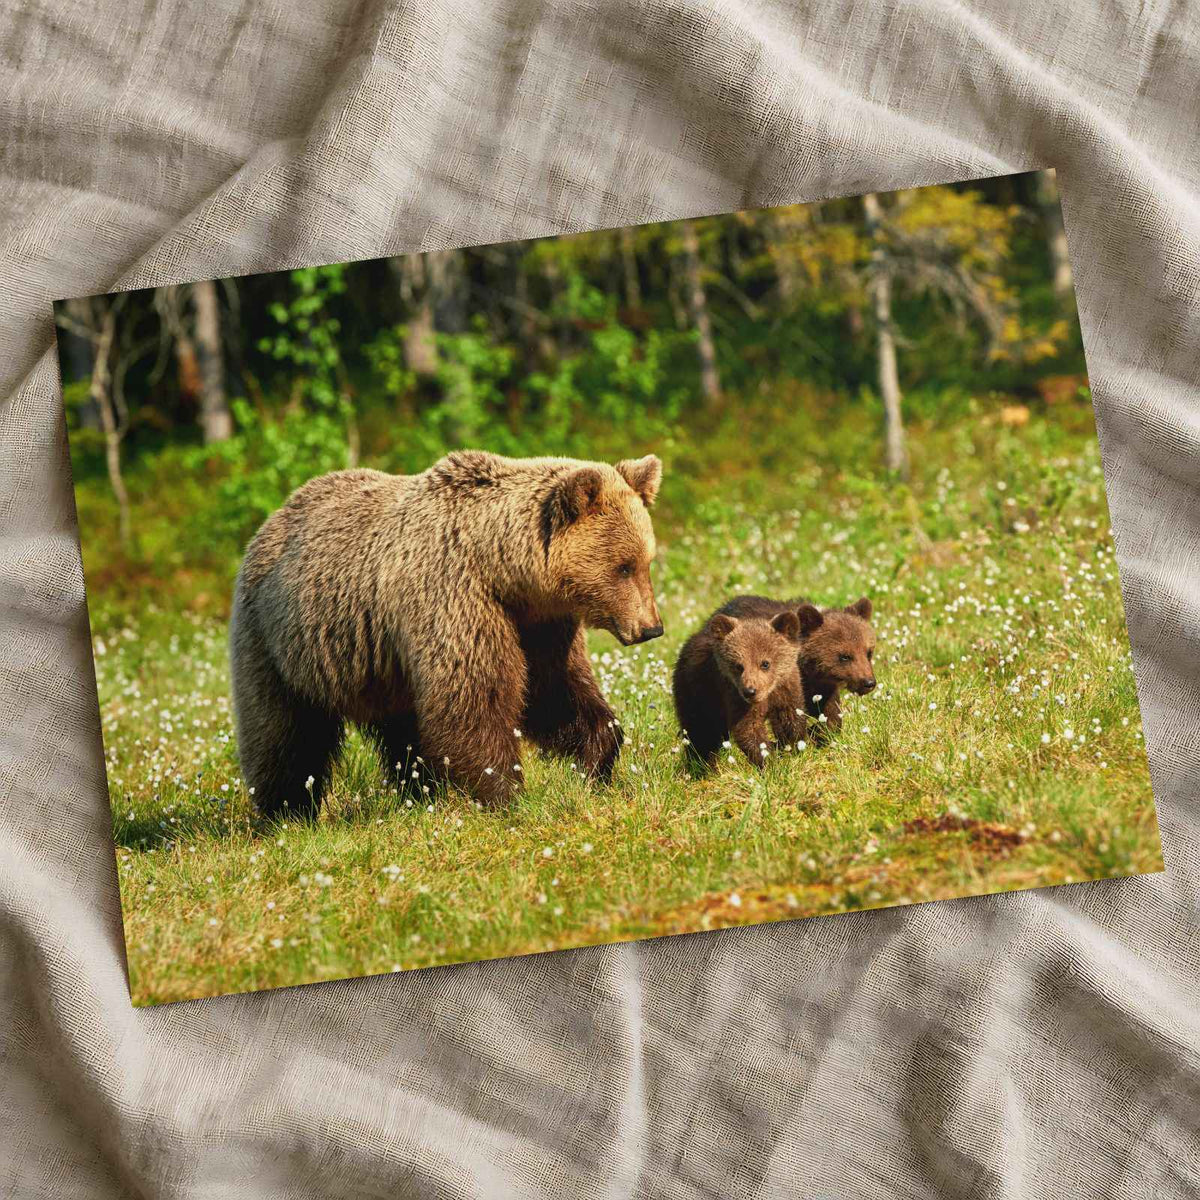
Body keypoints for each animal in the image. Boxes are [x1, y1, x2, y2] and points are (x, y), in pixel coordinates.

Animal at [229, 449, 664, 819]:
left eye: (646, 561)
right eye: (623, 566)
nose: (651, 627)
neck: (502, 569)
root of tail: (273, 518)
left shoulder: (538, 623)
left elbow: (554, 692)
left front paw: (597, 759)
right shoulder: (454, 597)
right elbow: (473, 699)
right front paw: (507, 792)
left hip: (384, 670)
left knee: (403, 734)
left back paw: (418, 794)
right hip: (279, 641)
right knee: (284, 734)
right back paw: (286, 812)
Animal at [672, 606, 806, 769]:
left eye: (765, 663)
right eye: (738, 666)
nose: (750, 691)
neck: (768, 693)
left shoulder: (785, 688)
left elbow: (790, 718)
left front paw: (793, 749)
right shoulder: (733, 694)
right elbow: (748, 728)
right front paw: (768, 761)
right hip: (698, 692)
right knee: (701, 732)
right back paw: (702, 765)